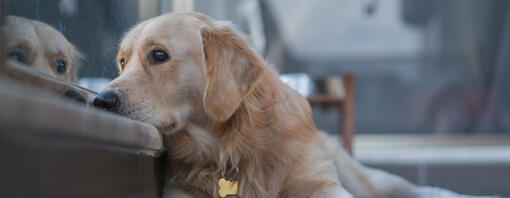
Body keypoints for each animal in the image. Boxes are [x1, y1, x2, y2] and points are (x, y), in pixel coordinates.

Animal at [92, 12, 350, 198]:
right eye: (122, 62)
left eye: (159, 55)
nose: (101, 100)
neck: (231, 145)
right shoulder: (180, 189)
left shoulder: (320, 181)